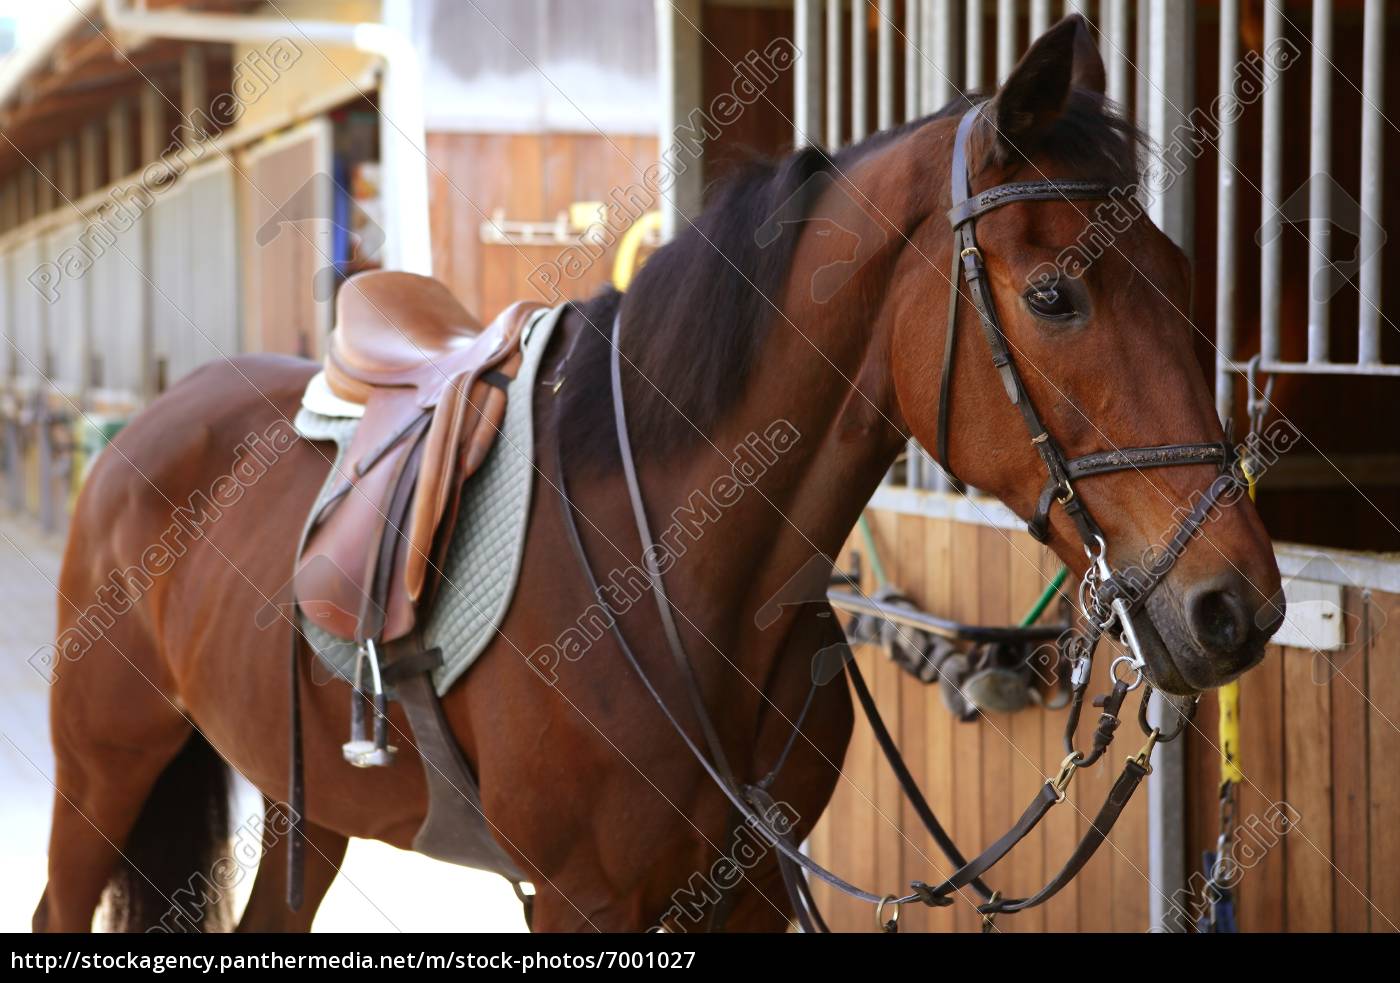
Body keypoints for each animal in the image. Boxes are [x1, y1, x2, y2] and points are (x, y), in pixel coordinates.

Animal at [32, 17, 1282, 940]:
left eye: (1177, 270)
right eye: (1053, 295)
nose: (1236, 604)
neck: (676, 572)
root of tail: (147, 429)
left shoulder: (750, 889)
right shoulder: (580, 900)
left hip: (305, 805)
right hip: (102, 768)